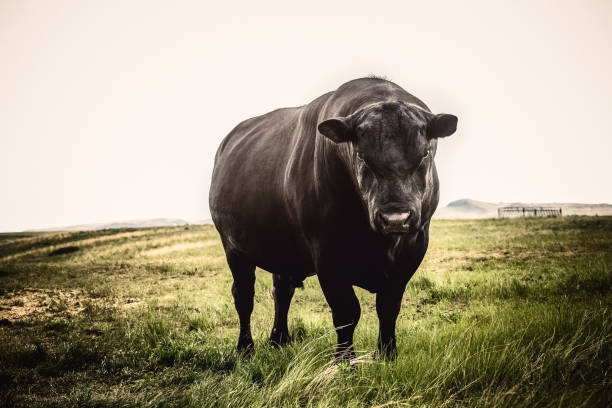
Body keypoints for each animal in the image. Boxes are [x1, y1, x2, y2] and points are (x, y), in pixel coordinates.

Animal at [208, 78, 456, 358]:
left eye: (424, 154)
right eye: (361, 156)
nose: (395, 218)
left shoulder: (413, 247)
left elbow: (388, 308)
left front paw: (387, 354)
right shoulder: (327, 254)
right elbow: (347, 312)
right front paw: (344, 360)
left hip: (282, 251)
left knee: (281, 292)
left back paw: (280, 339)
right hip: (233, 247)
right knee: (244, 296)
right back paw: (245, 347)